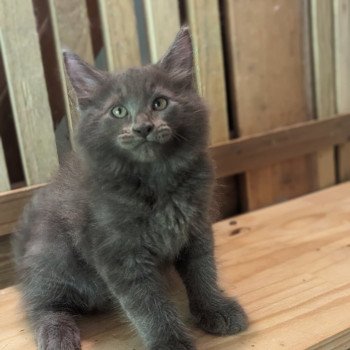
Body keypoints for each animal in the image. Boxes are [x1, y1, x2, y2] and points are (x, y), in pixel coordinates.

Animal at [13, 28, 246, 350]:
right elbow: (147, 304)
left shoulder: (196, 228)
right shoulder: (119, 252)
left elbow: (203, 273)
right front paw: (169, 341)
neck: (156, 181)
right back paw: (57, 332)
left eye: (160, 103)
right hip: (53, 254)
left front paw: (214, 309)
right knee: (40, 303)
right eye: (119, 111)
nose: (142, 128)